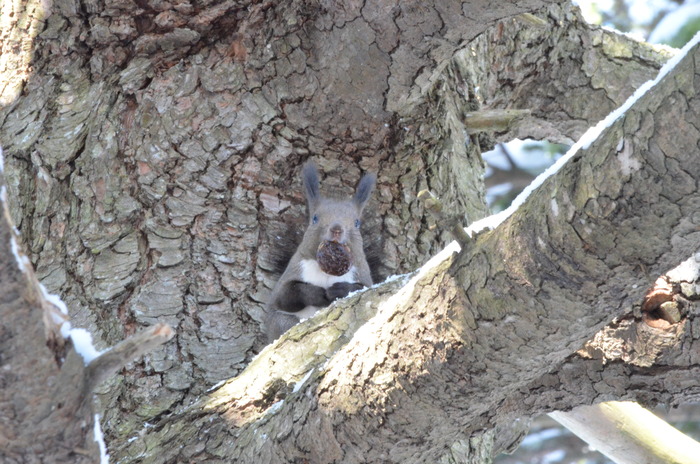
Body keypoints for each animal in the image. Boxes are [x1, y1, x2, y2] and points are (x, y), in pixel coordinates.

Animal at [266, 162, 378, 340]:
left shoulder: (362, 276)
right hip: (281, 322)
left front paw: (338, 290)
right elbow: (284, 295)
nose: (336, 229)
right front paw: (317, 294)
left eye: (357, 223)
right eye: (315, 218)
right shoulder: (294, 270)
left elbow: (361, 289)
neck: (326, 271)